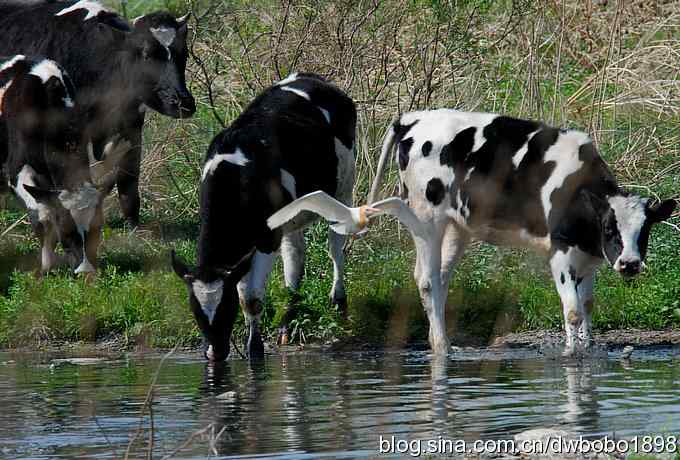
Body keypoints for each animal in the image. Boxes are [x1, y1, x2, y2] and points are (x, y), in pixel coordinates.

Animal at [0, 0, 197, 225]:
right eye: (146, 55)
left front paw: (134, 226)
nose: (183, 102)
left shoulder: (131, 127)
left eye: (184, 54)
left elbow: (128, 183)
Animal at [1, 55, 121, 274]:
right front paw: (45, 268)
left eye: (97, 230)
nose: (86, 273)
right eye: (66, 233)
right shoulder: (16, 171)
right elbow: (43, 217)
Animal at [171, 72, 356, 362]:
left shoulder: (266, 238)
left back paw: (339, 301)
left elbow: (251, 299)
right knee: (295, 258)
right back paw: (287, 323)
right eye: (196, 312)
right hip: (292, 216)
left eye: (226, 308)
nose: (215, 352)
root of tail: (309, 77)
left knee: (336, 246)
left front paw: (254, 349)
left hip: (344, 188)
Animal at [366, 109, 680, 358]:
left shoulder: (589, 257)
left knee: (441, 279)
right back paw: (442, 348)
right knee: (427, 280)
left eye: (646, 230)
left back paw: (441, 342)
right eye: (608, 227)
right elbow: (573, 311)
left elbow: (588, 305)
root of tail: (411, 119)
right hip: (427, 219)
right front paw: (571, 353)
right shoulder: (560, 252)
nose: (630, 264)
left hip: (457, 227)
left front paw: (588, 348)